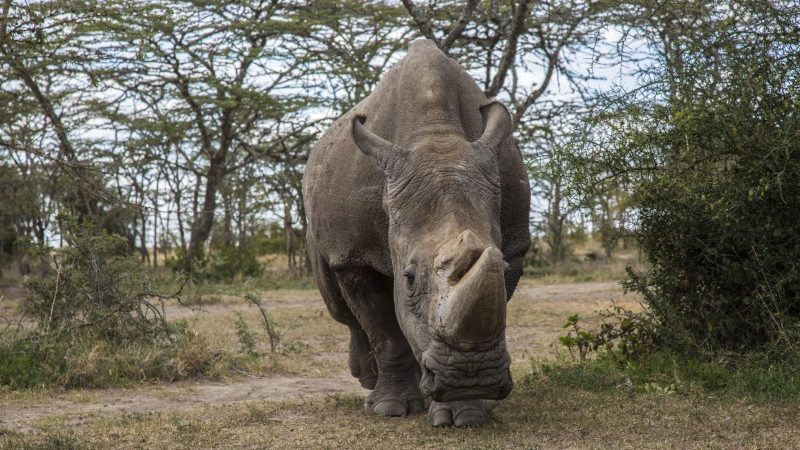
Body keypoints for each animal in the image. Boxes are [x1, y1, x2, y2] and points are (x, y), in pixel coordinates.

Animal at [302, 39, 531, 427]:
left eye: (501, 268)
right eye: (408, 278)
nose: (472, 376)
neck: (436, 136)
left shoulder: (514, 248)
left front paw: (465, 412)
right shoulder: (355, 254)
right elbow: (386, 333)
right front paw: (390, 409)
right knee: (339, 308)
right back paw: (368, 381)